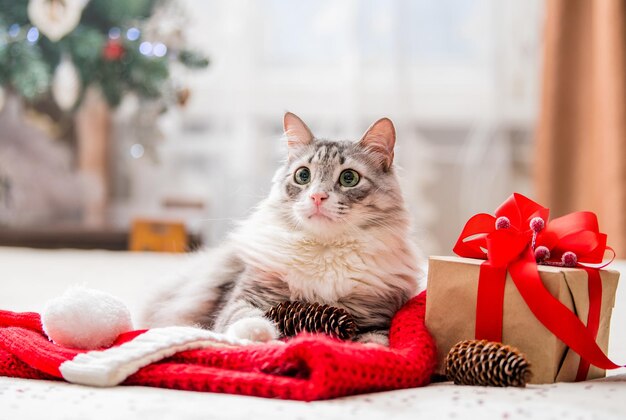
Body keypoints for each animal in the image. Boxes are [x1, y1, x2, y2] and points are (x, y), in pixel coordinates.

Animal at [141, 112, 422, 344]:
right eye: (303, 176)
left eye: (349, 178)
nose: (317, 197)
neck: (325, 252)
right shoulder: (245, 295)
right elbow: (243, 316)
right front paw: (258, 334)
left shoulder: (377, 316)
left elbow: (376, 342)